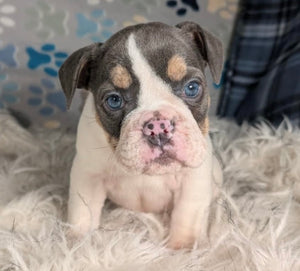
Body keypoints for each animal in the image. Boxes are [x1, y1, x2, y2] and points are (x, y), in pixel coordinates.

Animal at [58, 21, 223, 251]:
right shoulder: (88, 176)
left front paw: (183, 248)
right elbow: (83, 211)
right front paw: (77, 243)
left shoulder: (193, 180)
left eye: (192, 87)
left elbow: (187, 215)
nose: (158, 126)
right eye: (114, 100)